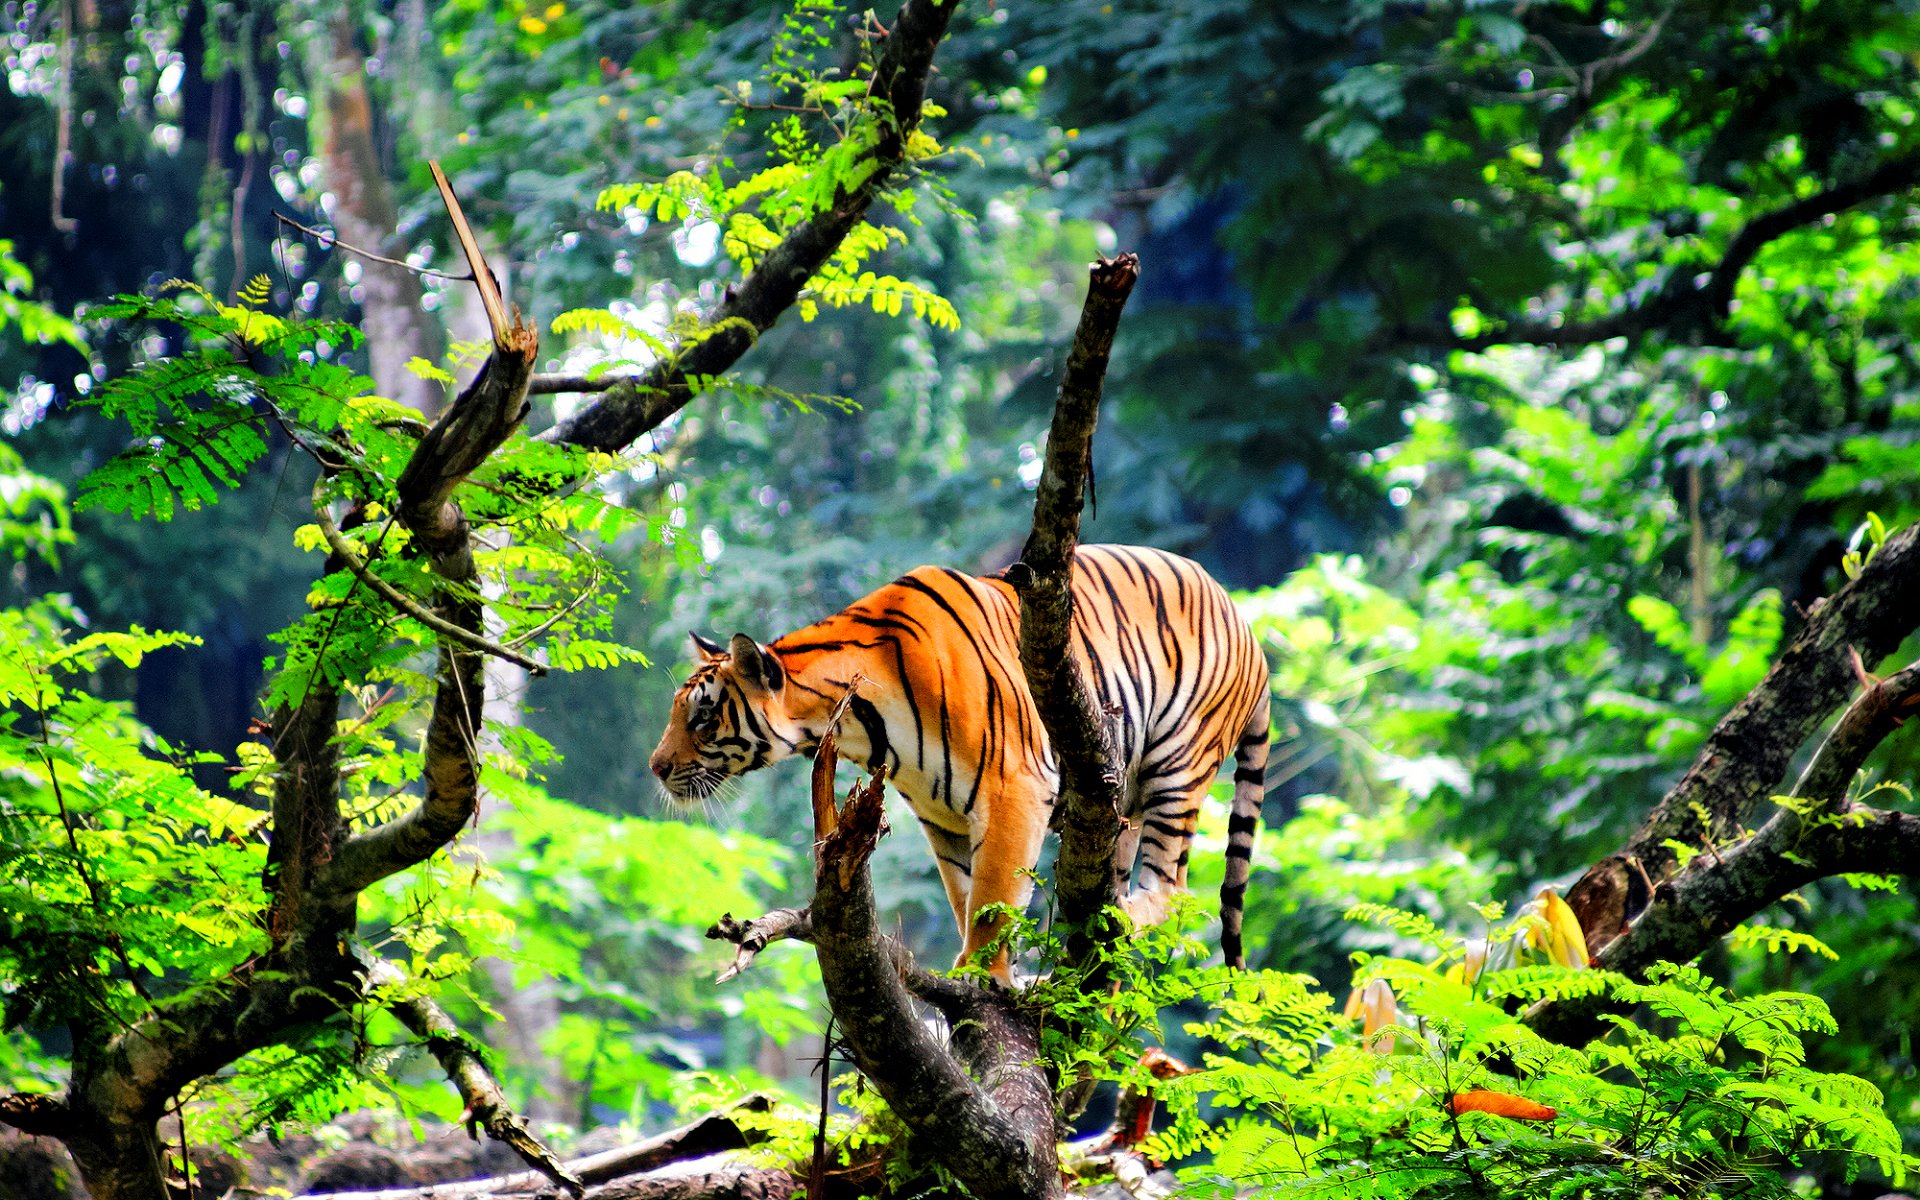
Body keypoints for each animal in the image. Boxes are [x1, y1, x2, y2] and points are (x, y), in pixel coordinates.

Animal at [648, 544, 1271, 977]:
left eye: (702, 717)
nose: (656, 767)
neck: (855, 723)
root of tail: (1249, 626)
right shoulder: (941, 814)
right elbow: (965, 894)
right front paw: (994, 972)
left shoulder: (1013, 786)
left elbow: (993, 898)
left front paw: (982, 976)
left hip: (1178, 766)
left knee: (1173, 889)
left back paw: (1115, 921)